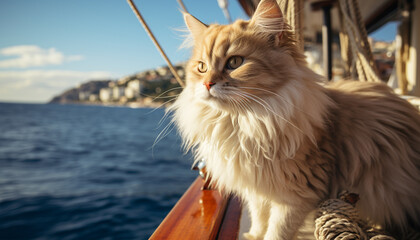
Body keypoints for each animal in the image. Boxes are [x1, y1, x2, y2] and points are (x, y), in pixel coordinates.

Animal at [169, 0, 420, 238]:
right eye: (201, 67)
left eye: (235, 62)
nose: (207, 84)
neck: (244, 123)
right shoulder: (257, 190)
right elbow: (259, 218)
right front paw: (253, 236)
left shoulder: (296, 197)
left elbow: (276, 232)